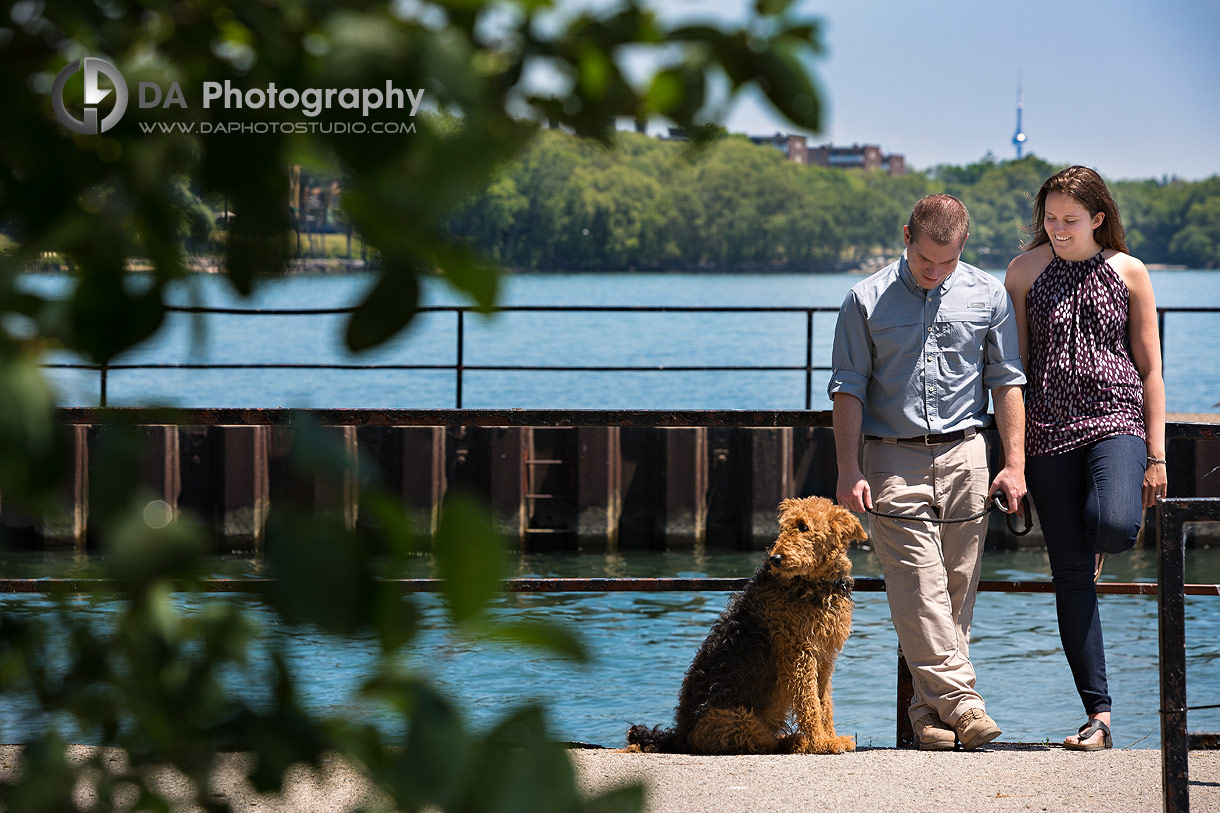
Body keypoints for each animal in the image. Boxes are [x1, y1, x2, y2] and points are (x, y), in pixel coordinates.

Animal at [629, 493, 868, 751]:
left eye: (803, 527)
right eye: (783, 527)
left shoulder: (823, 657)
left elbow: (824, 703)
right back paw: (799, 741)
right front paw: (821, 743)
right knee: (766, 742)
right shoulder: (799, 655)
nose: (775, 558)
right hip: (739, 720)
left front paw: (830, 738)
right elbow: (809, 704)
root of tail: (680, 736)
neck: (816, 585)